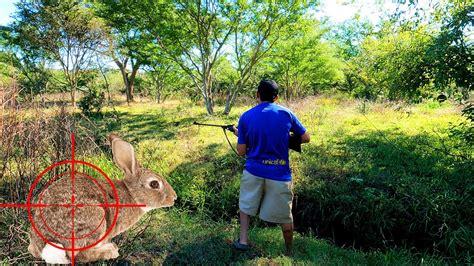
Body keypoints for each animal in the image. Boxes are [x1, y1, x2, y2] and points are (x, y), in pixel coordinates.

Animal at [27, 134, 176, 262]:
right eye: (154, 184)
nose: (174, 198)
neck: (132, 194)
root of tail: (46, 245)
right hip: (96, 219)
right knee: (79, 255)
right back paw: (110, 251)